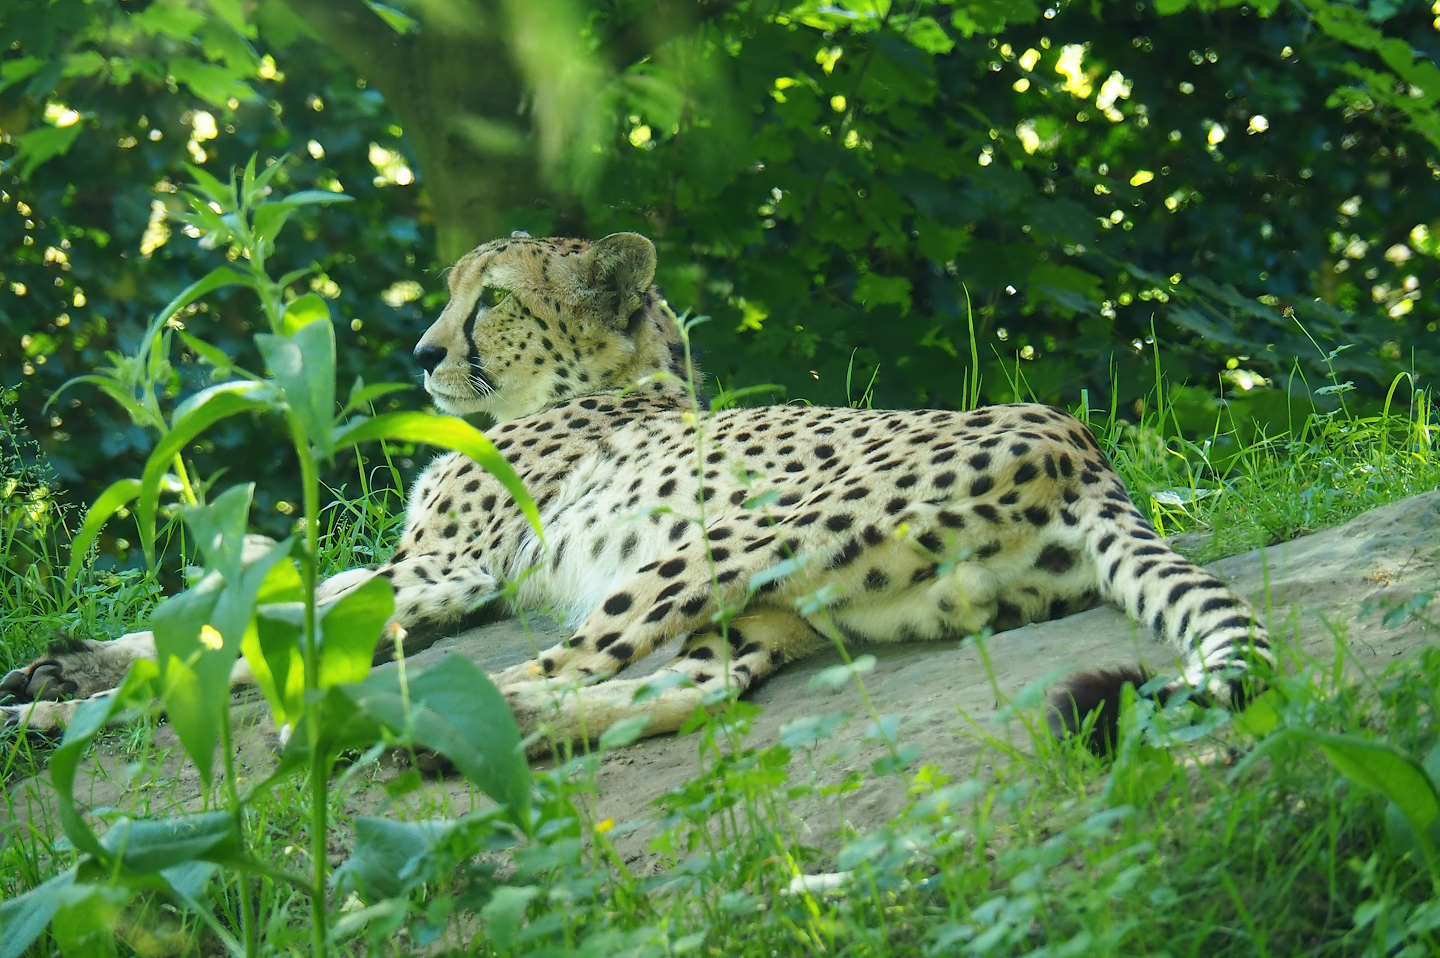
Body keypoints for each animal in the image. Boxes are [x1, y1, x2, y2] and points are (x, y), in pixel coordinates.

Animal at [0, 231, 1273, 754]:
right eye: (451, 293)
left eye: (491, 301)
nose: (422, 350)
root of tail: (1081, 444)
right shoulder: (425, 566)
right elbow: (235, 605)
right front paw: (65, 672)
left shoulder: (449, 568)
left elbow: (264, 618)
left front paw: (60, 698)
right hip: (786, 609)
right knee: (692, 692)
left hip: (714, 549)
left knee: (543, 670)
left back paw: (352, 725)